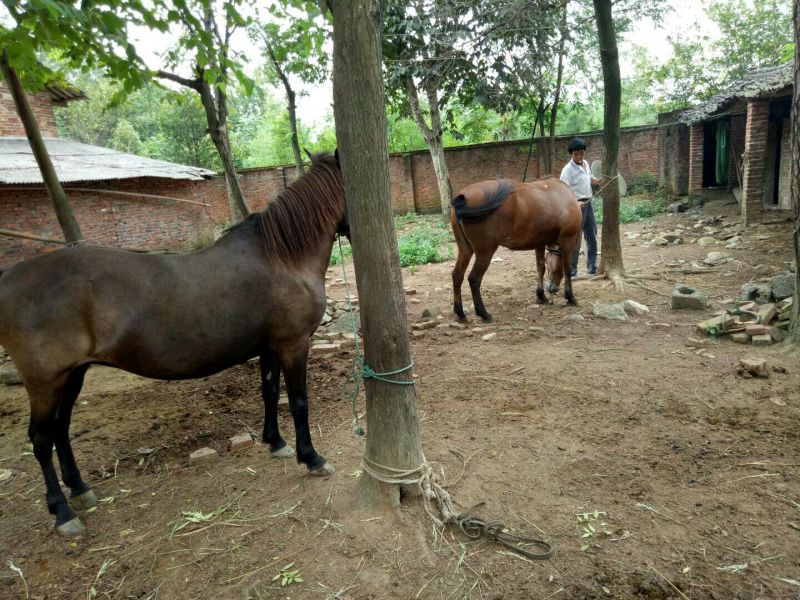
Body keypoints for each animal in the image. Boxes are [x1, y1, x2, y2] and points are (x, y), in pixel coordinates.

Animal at [0, 152, 348, 536]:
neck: (283, 258)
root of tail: (9, 278)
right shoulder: (293, 345)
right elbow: (299, 402)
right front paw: (312, 458)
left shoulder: (269, 347)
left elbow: (270, 394)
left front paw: (276, 443)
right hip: (45, 382)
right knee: (41, 439)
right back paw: (62, 513)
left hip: (73, 375)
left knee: (60, 430)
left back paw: (79, 489)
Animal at [450, 177, 582, 322]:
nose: (553, 288)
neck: (562, 195)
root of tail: (464, 197)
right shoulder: (568, 240)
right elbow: (567, 269)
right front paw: (570, 297)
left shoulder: (539, 243)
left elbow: (540, 268)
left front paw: (541, 295)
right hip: (485, 252)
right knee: (474, 279)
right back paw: (483, 313)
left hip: (465, 249)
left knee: (457, 275)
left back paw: (460, 313)